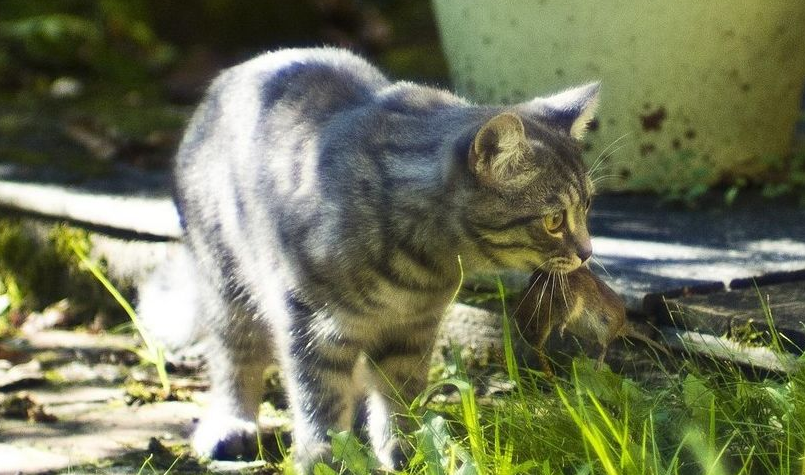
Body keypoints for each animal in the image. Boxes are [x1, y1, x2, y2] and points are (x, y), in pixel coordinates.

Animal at [174, 48, 596, 472]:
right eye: (554, 220)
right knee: (235, 355)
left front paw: (406, 449)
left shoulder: (413, 330)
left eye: (588, 205)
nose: (587, 252)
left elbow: (400, 393)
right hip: (225, 281)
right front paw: (324, 457)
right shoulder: (311, 325)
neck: (421, 267)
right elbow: (320, 397)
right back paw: (233, 423)